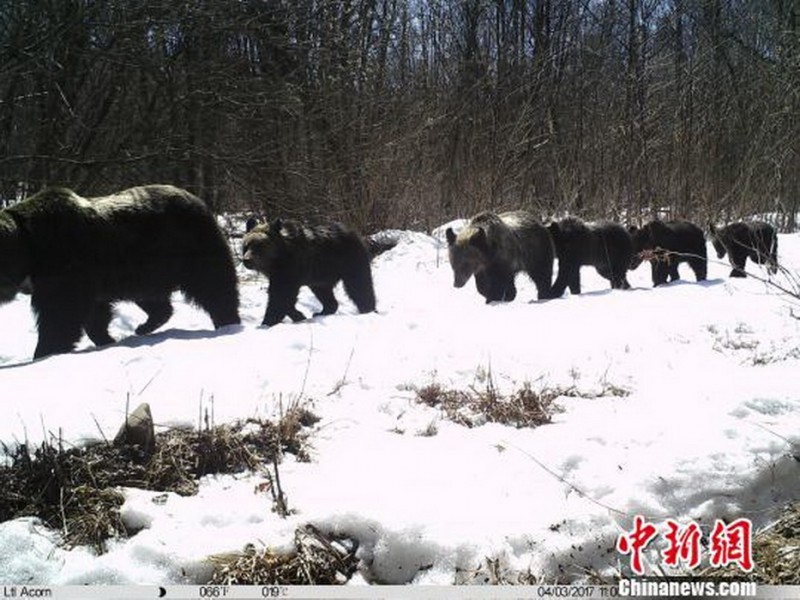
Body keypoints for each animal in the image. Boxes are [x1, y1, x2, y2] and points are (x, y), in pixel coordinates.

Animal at [0, 185, 241, 358]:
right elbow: (94, 314)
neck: (30, 248)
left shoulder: (64, 265)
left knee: (213, 286)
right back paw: (144, 326)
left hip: (189, 248)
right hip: (148, 271)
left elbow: (60, 313)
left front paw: (45, 351)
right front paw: (106, 339)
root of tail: (200, 201)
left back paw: (227, 322)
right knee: (155, 300)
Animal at [242, 218, 376, 326]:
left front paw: (267, 322)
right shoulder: (280, 273)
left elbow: (280, 295)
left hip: (349, 261)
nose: (246, 260)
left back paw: (368, 309)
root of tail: (354, 232)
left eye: (259, 246)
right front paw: (299, 315)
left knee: (359, 286)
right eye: (246, 245)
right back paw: (322, 311)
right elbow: (282, 297)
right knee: (324, 292)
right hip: (320, 275)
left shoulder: (289, 268)